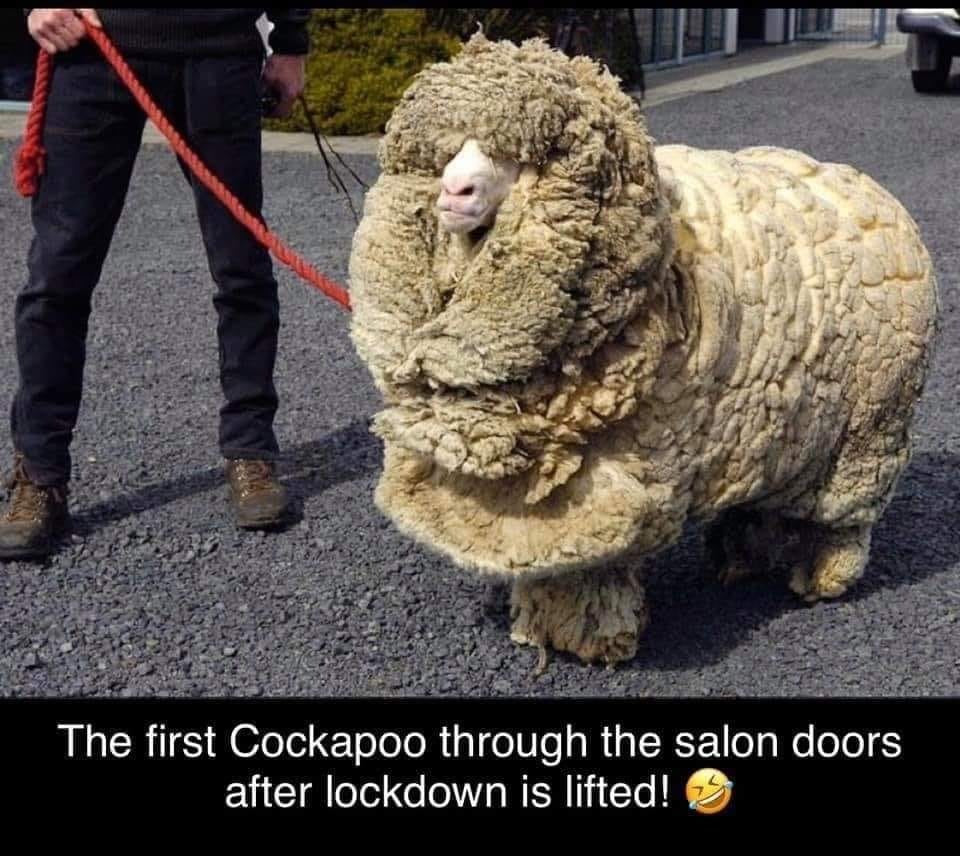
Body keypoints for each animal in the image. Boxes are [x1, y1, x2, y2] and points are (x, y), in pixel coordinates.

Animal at [348, 34, 939, 667]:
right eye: (449, 153)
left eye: (514, 158)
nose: (452, 192)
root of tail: (872, 190)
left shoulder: (622, 478)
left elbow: (594, 565)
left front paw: (591, 637)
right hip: (783, 425)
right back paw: (741, 555)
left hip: (868, 433)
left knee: (846, 517)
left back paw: (825, 574)